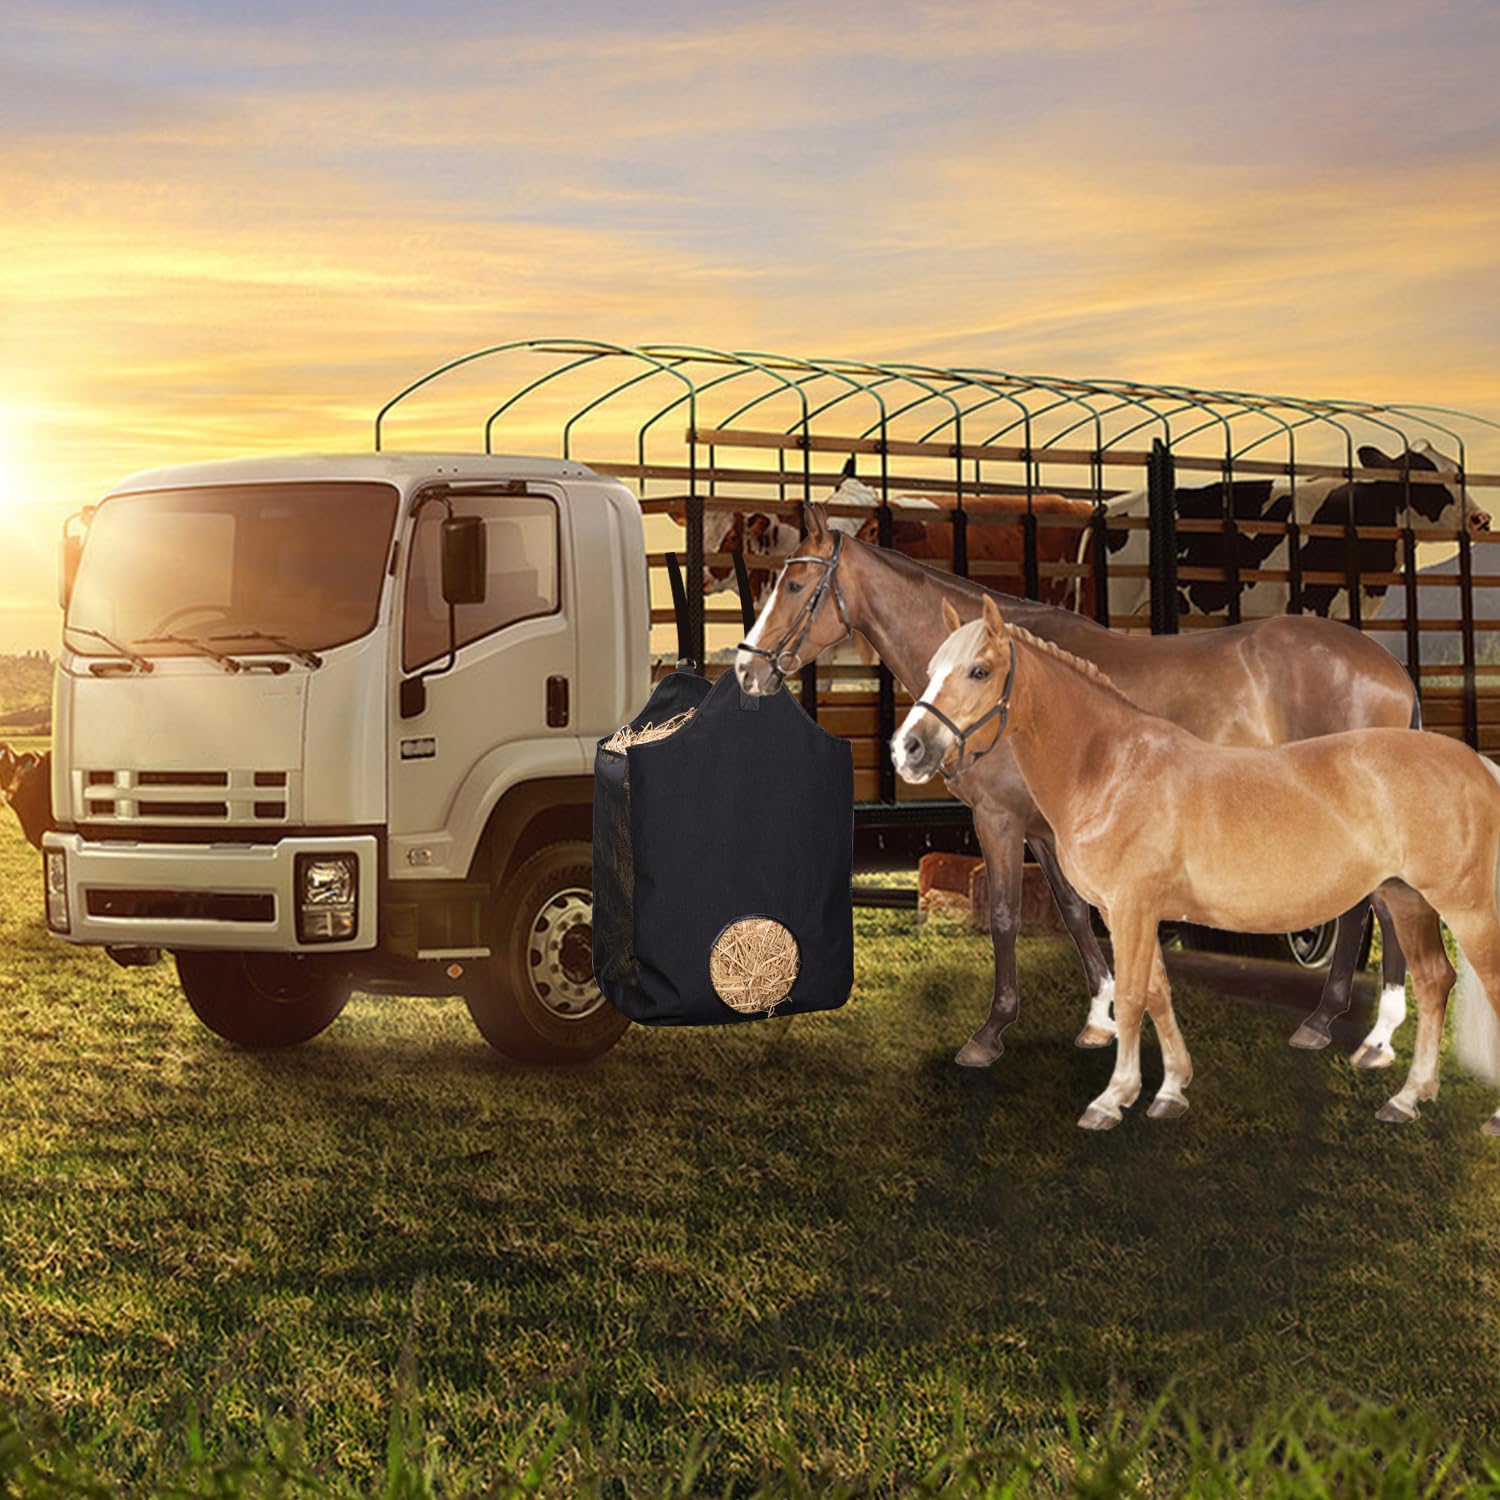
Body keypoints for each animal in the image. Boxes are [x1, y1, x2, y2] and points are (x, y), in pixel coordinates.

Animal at [735, 502, 1421, 1071]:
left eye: (793, 585)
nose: (745, 669)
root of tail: (1391, 670)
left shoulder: (999, 819)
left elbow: (1007, 917)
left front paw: (990, 1034)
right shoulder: (1044, 830)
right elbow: (1071, 912)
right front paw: (1100, 1018)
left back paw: (1343, 1024)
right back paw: (1345, 1024)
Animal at [896, 592, 1500, 1134]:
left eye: (978, 670)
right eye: (930, 669)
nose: (909, 748)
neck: (1111, 768)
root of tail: (1477, 765)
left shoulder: (1130, 908)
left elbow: (1132, 997)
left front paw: (1112, 1098)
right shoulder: (1133, 911)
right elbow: (1158, 993)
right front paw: (1170, 1091)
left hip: (1467, 909)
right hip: (1408, 899)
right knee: (1433, 980)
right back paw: (1407, 1097)